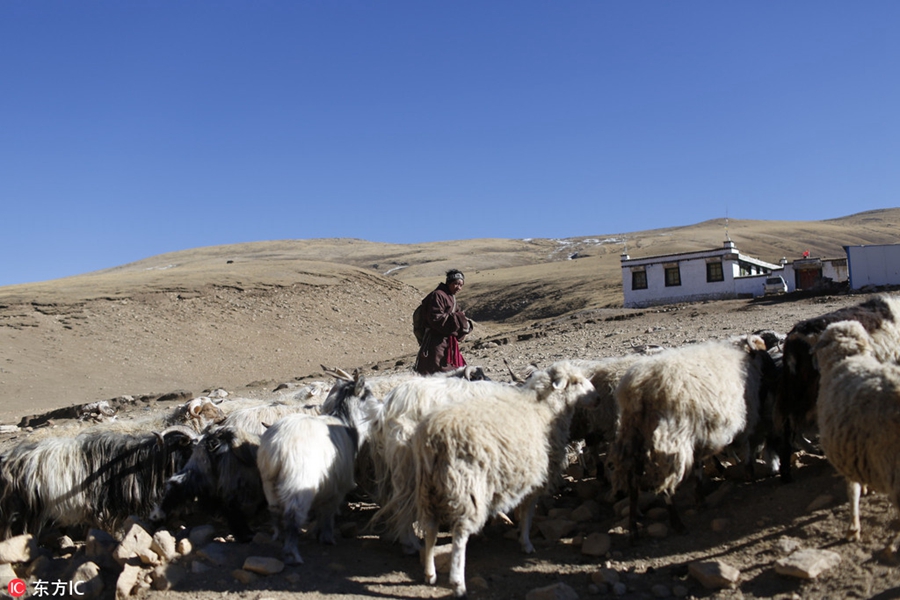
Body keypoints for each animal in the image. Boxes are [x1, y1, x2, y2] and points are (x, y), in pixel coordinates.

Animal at [412, 358, 596, 596]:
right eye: (575, 382)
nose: (597, 397)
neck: (543, 408)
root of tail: (433, 438)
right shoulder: (536, 478)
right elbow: (528, 513)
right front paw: (526, 543)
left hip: (427, 487)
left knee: (430, 529)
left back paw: (430, 574)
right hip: (467, 486)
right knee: (460, 534)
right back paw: (458, 582)